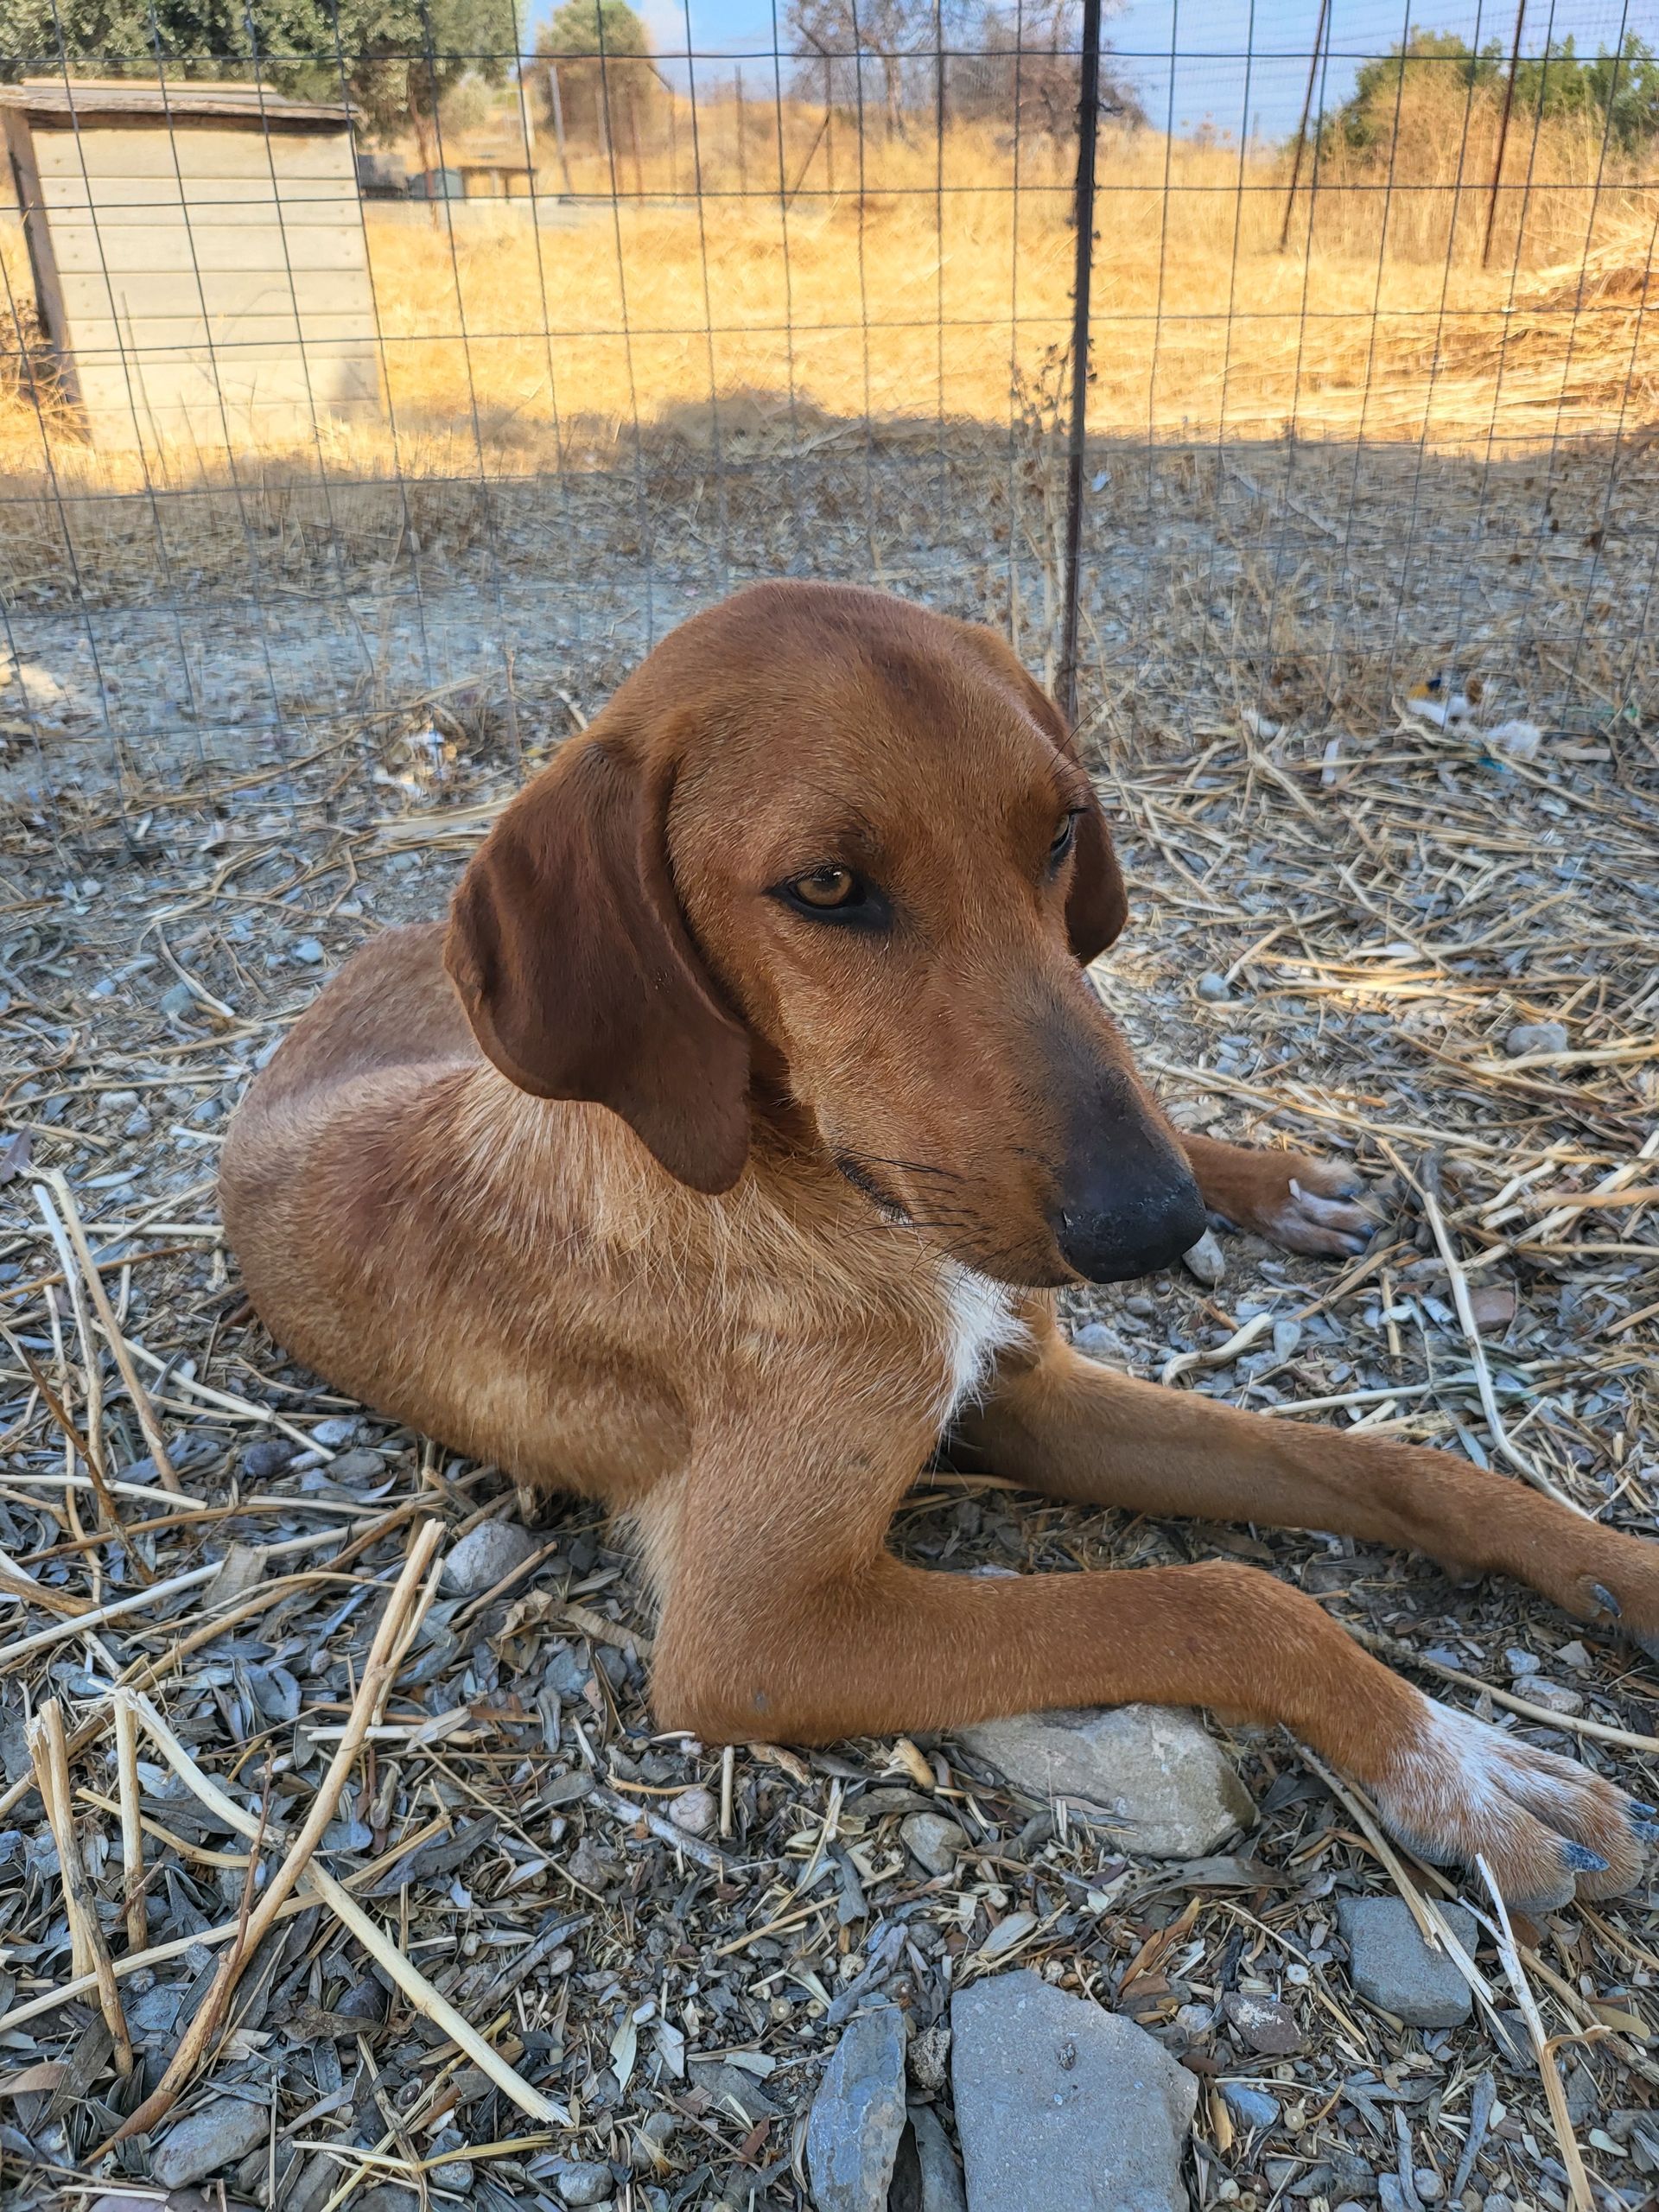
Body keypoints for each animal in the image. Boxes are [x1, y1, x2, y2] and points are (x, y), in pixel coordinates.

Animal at [222, 581, 1657, 1913]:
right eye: (826, 887)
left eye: (1062, 832)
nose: (1152, 1225)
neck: (835, 1203)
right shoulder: (756, 1636)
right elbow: (1230, 1600)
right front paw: (1468, 1769)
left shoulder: (1035, 1396)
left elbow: (1408, 1469)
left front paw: (1623, 1574)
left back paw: (1280, 1182)